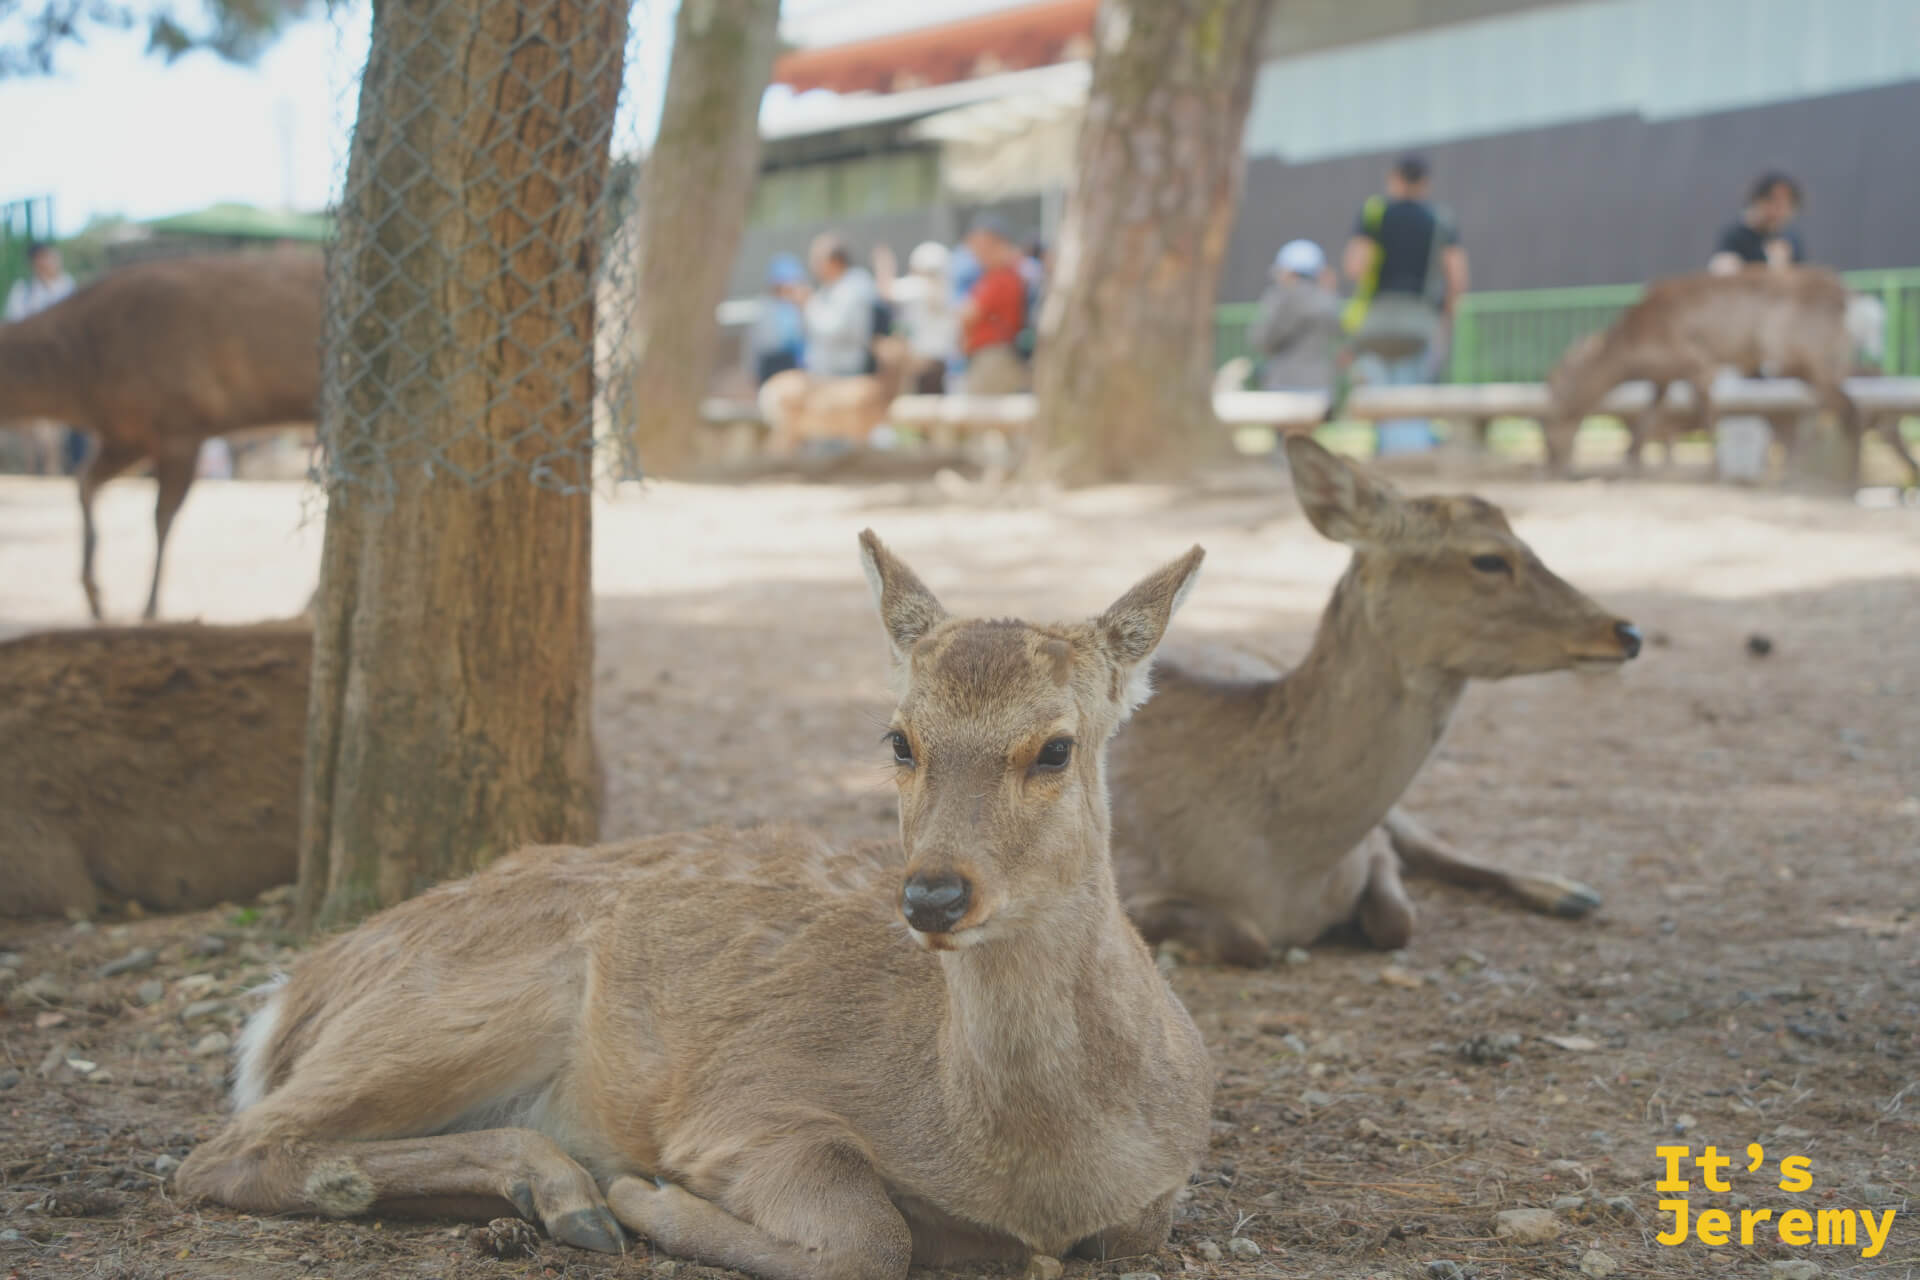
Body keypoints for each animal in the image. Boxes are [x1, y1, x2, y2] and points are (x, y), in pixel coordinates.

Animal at [0, 249, 323, 620]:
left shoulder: (180, 423)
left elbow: (162, 516)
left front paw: (150, 605)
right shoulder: (128, 434)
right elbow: (85, 482)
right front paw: (94, 595)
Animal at [175, 532, 1215, 1277]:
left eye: (1056, 747)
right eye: (899, 739)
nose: (932, 893)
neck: (1037, 1173)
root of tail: (294, 994)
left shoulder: (1157, 1195)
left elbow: (1128, 1234)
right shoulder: (744, 1104)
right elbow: (868, 1239)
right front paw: (651, 1200)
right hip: (459, 1005)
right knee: (221, 1149)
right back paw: (570, 1195)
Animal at [1107, 436, 1642, 967]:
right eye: (1488, 558)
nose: (1627, 632)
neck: (1288, 872)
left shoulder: (1376, 847)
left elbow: (1397, 919)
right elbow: (1250, 942)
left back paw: (1570, 891)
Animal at [1542, 266, 1916, 486]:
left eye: (1557, 389)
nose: (1551, 462)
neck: (1630, 350)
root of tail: (1854, 300)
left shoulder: (1697, 362)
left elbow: (1706, 413)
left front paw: (1715, 470)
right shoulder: (1664, 377)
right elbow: (1647, 421)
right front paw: (1628, 464)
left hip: (1796, 354)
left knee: (1846, 407)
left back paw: (1833, 477)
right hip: (1823, 360)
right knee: (1840, 404)